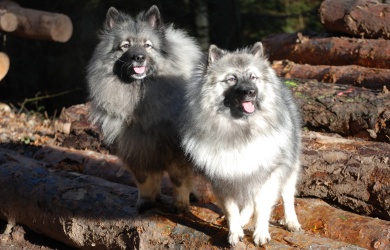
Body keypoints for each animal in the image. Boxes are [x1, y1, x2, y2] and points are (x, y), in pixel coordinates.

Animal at [85, 5, 201, 213]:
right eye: (125, 46)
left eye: (147, 45)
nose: (138, 57)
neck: (139, 94)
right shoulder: (137, 149)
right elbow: (145, 179)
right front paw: (146, 200)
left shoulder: (175, 151)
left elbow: (179, 179)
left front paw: (180, 205)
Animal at [181, 43, 304, 246]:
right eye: (231, 78)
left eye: (253, 77)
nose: (251, 92)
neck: (239, 129)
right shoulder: (224, 178)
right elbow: (231, 209)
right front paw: (235, 231)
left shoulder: (266, 174)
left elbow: (261, 206)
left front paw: (261, 233)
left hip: (289, 166)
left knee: (287, 195)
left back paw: (291, 221)